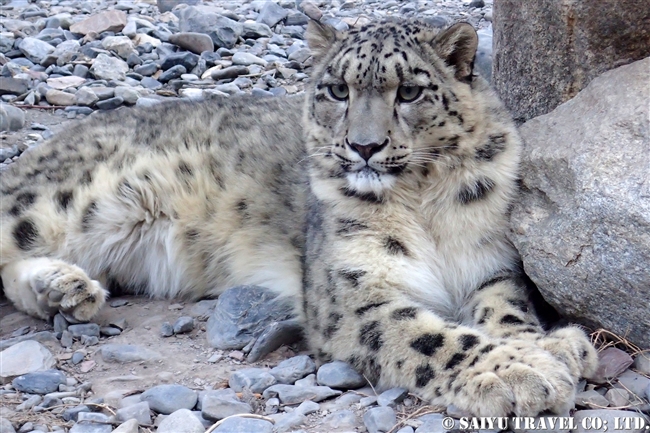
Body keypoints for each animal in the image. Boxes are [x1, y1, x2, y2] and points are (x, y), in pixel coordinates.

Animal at [0, 19, 596, 416]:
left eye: (409, 90)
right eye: (337, 89)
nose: (364, 146)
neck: (424, 202)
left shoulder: (490, 261)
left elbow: (508, 309)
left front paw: (551, 347)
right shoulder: (354, 296)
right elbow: (433, 338)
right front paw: (521, 371)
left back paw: (66, 289)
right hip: (59, 203)